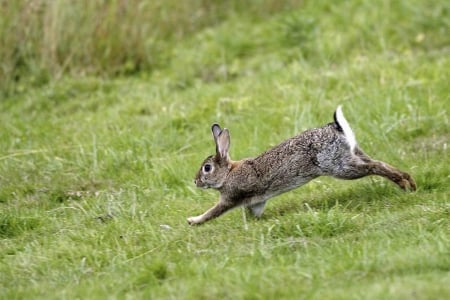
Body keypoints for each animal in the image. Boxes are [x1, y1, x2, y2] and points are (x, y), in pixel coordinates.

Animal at [186, 105, 414, 225]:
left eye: (207, 168)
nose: (195, 181)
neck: (228, 173)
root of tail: (336, 128)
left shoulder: (230, 197)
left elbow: (213, 211)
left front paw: (193, 220)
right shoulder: (256, 201)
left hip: (339, 166)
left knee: (374, 166)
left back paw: (403, 183)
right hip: (352, 154)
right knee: (376, 162)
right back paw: (409, 183)